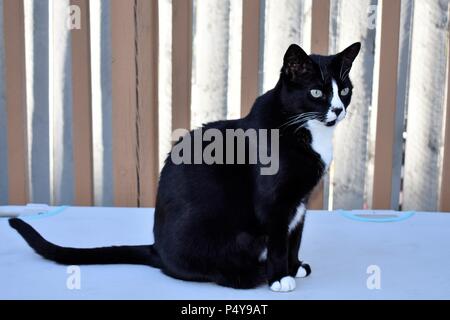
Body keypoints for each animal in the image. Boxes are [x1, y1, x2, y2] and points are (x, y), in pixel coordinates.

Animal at [8, 42, 360, 292]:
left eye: (344, 90)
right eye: (316, 92)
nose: (338, 109)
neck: (305, 131)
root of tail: (157, 249)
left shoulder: (300, 201)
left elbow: (294, 236)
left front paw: (293, 265)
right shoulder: (274, 203)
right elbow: (278, 240)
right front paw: (279, 277)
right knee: (216, 272)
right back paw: (255, 273)